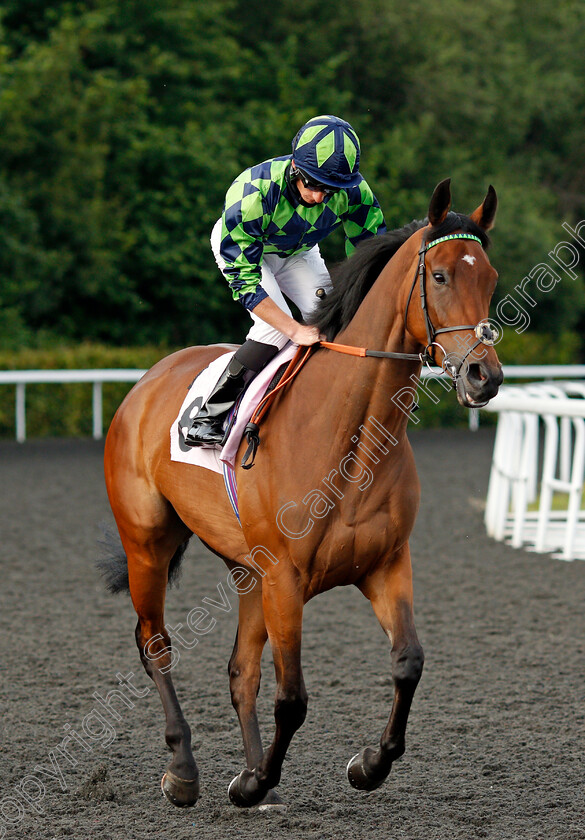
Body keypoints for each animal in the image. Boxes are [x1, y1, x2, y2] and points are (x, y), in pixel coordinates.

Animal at [100, 176, 502, 808]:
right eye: (439, 276)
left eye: (489, 277)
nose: (485, 376)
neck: (348, 434)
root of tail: (148, 380)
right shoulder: (286, 578)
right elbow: (292, 698)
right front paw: (259, 780)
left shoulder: (386, 563)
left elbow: (408, 662)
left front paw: (367, 765)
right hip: (147, 542)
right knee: (155, 644)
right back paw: (183, 769)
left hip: (247, 571)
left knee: (240, 670)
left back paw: (243, 765)